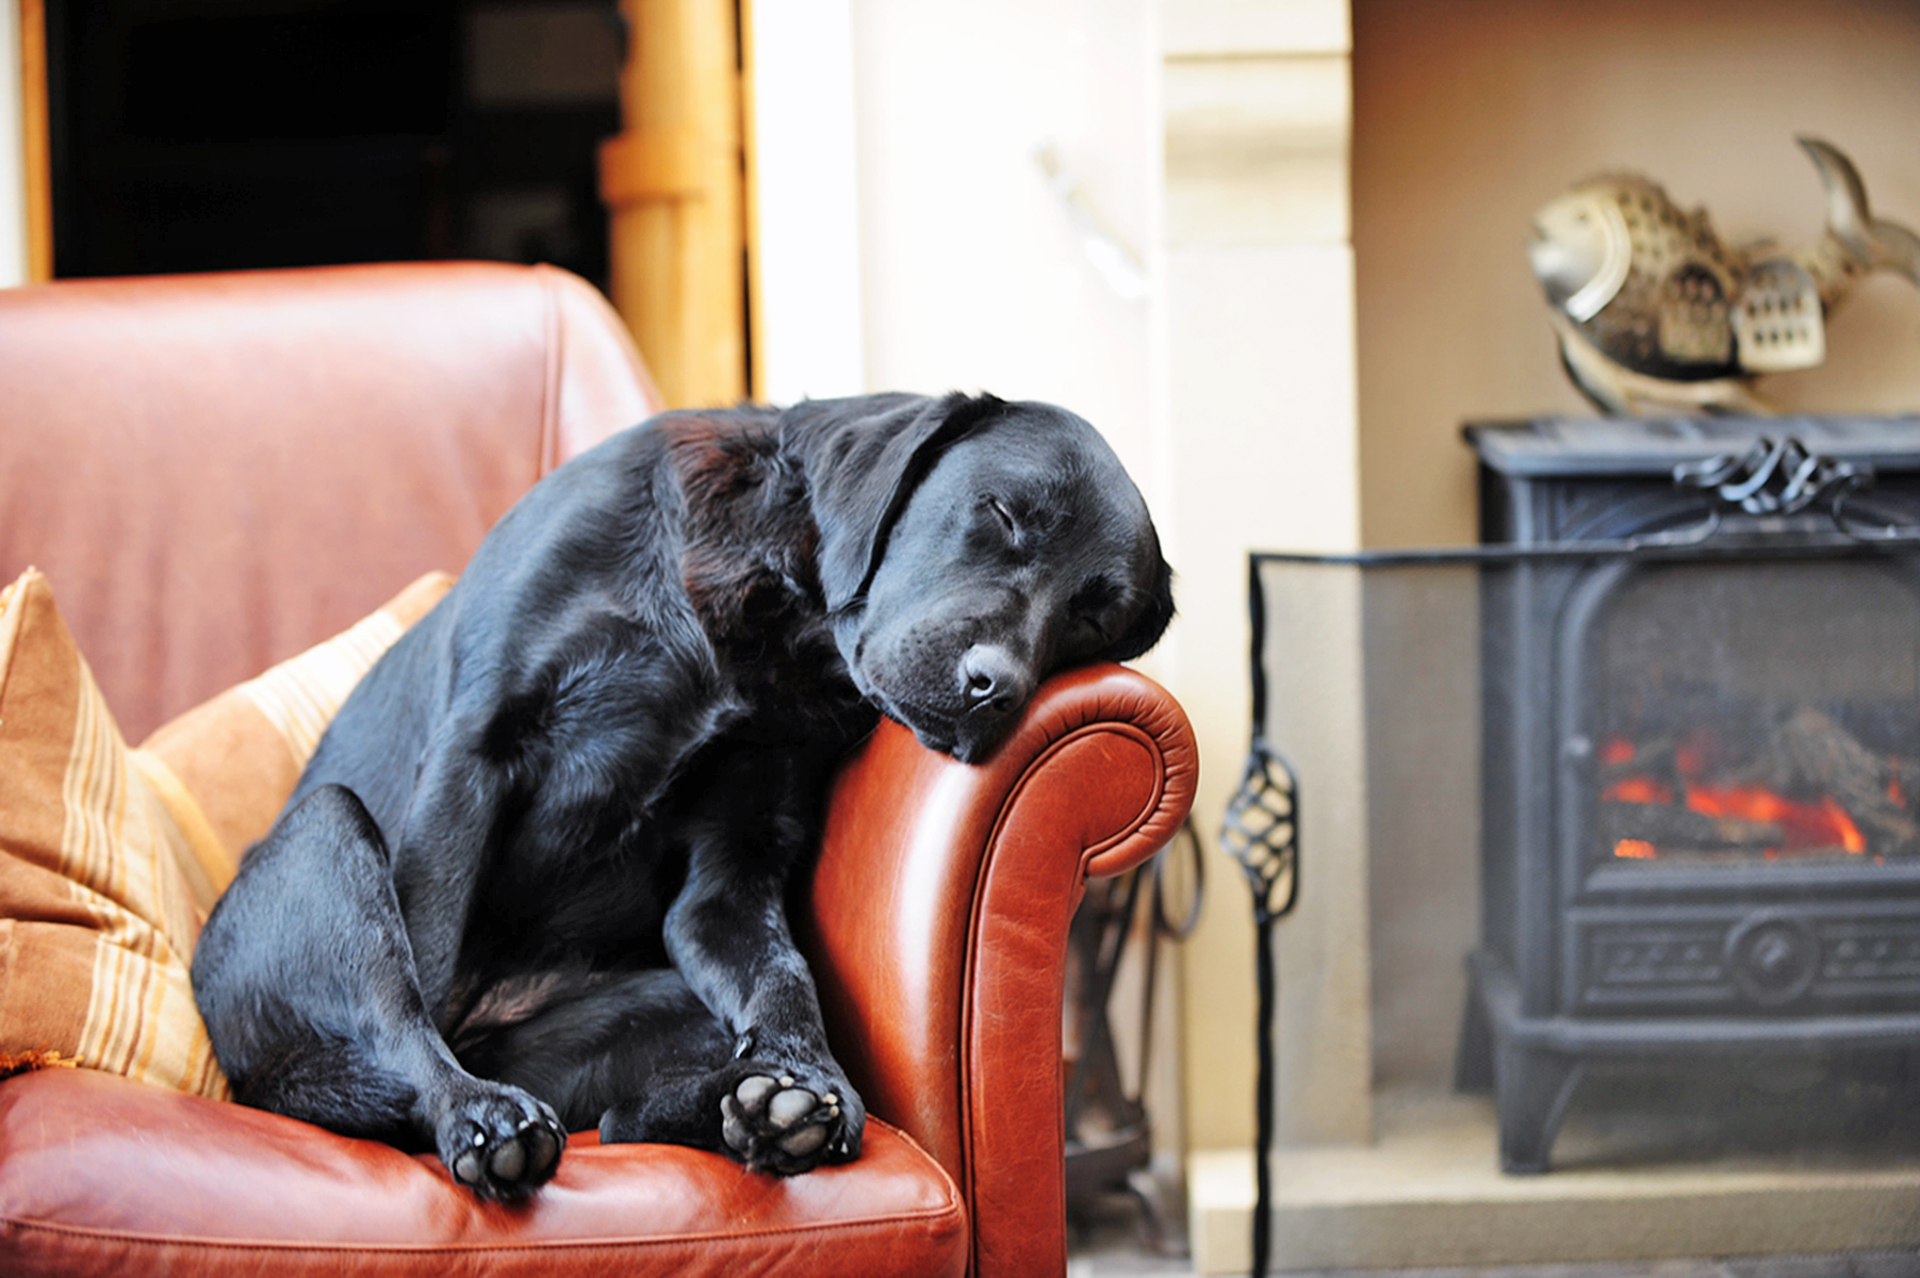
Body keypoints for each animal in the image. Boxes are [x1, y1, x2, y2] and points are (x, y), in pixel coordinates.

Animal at [194, 387, 1175, 1197]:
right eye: (1001, 514)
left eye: (1093, 621)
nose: (995, 688)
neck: (764, 619)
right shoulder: (473, 753)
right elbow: (423, 954)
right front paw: (457, 1121)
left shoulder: (733, 867)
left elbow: (783, 973)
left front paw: (804, 1084)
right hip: (327, 830)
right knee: (399, 1005)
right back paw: (480, 1110)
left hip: (657, 1011)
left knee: (626, 1119)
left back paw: (755, 1111)